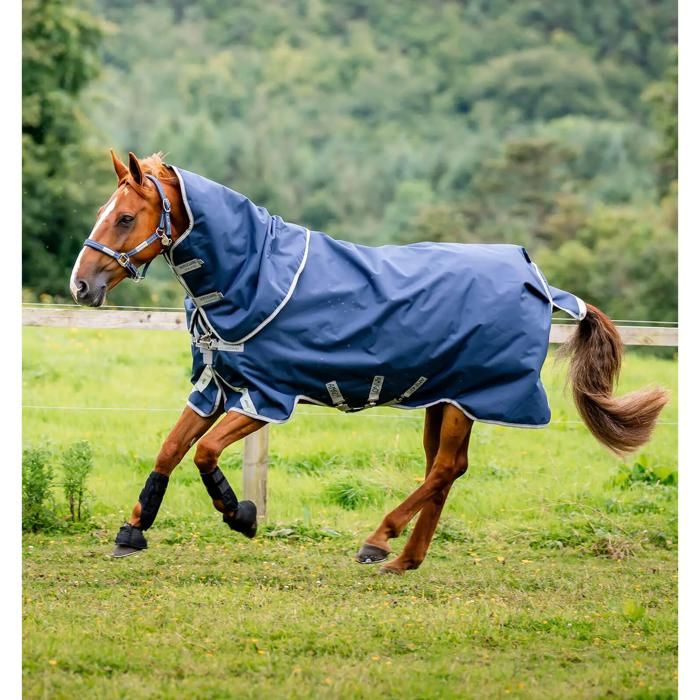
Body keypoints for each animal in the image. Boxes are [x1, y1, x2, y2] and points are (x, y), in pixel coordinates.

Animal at [69, 150, 668, 573]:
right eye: (102, 213)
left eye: (125, 217)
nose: (81, 285)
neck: (252, 276)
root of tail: (539, 280)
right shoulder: (218, 385)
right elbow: (171, 449)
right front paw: (133, 531)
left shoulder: (267, 397)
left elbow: (205, 453)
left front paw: (241, 515)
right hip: (444, 396)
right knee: (446, 469)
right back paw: (405, 560)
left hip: (467, 397)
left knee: (445, 468)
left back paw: (379, 541)